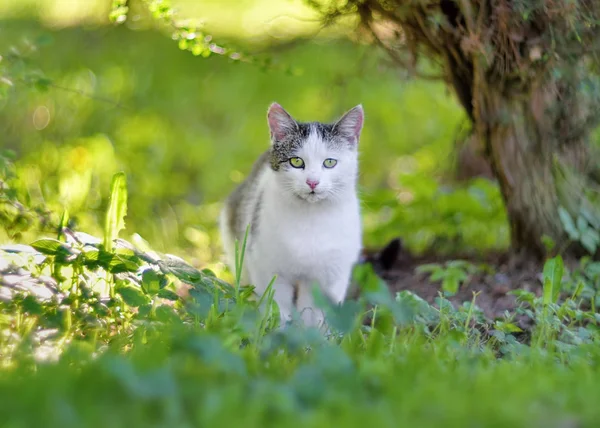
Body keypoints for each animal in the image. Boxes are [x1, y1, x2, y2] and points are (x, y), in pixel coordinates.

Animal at [219, 103, 364, 328]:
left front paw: (315, 335)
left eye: (330, 162)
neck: (310, 218)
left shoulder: (332, 276)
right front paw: (279, 332)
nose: (312, 182)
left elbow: (317, 314)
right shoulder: (267, 267)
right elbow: (278, 306)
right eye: (296, 161)